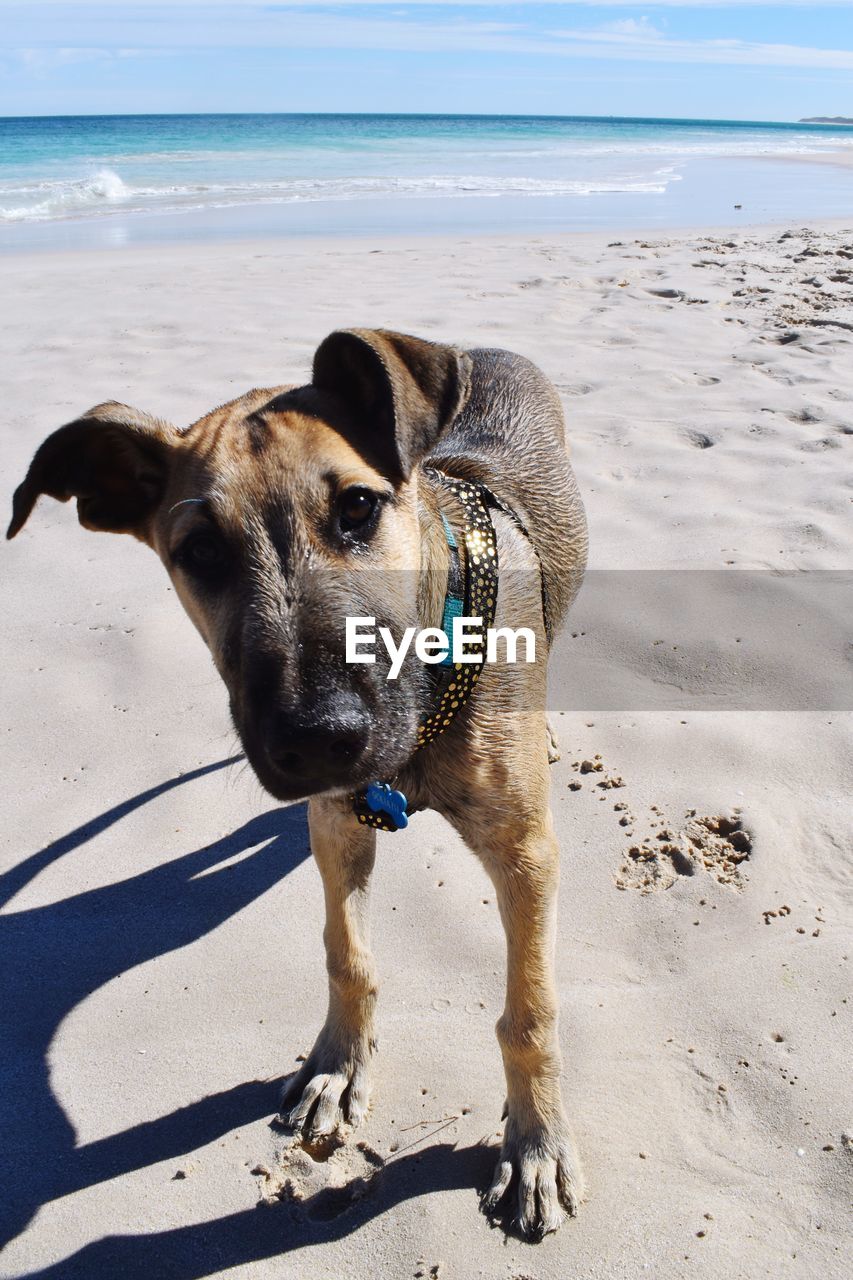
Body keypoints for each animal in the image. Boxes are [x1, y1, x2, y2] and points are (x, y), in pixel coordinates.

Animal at [8, 330, 584, 1239]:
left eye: (357, 508)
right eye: (198, 552)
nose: (316, 739)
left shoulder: (523, 852)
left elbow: (528, 1014)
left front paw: (535, 1143)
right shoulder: (337, 823)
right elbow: (347, 956)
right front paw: (339, 1070)